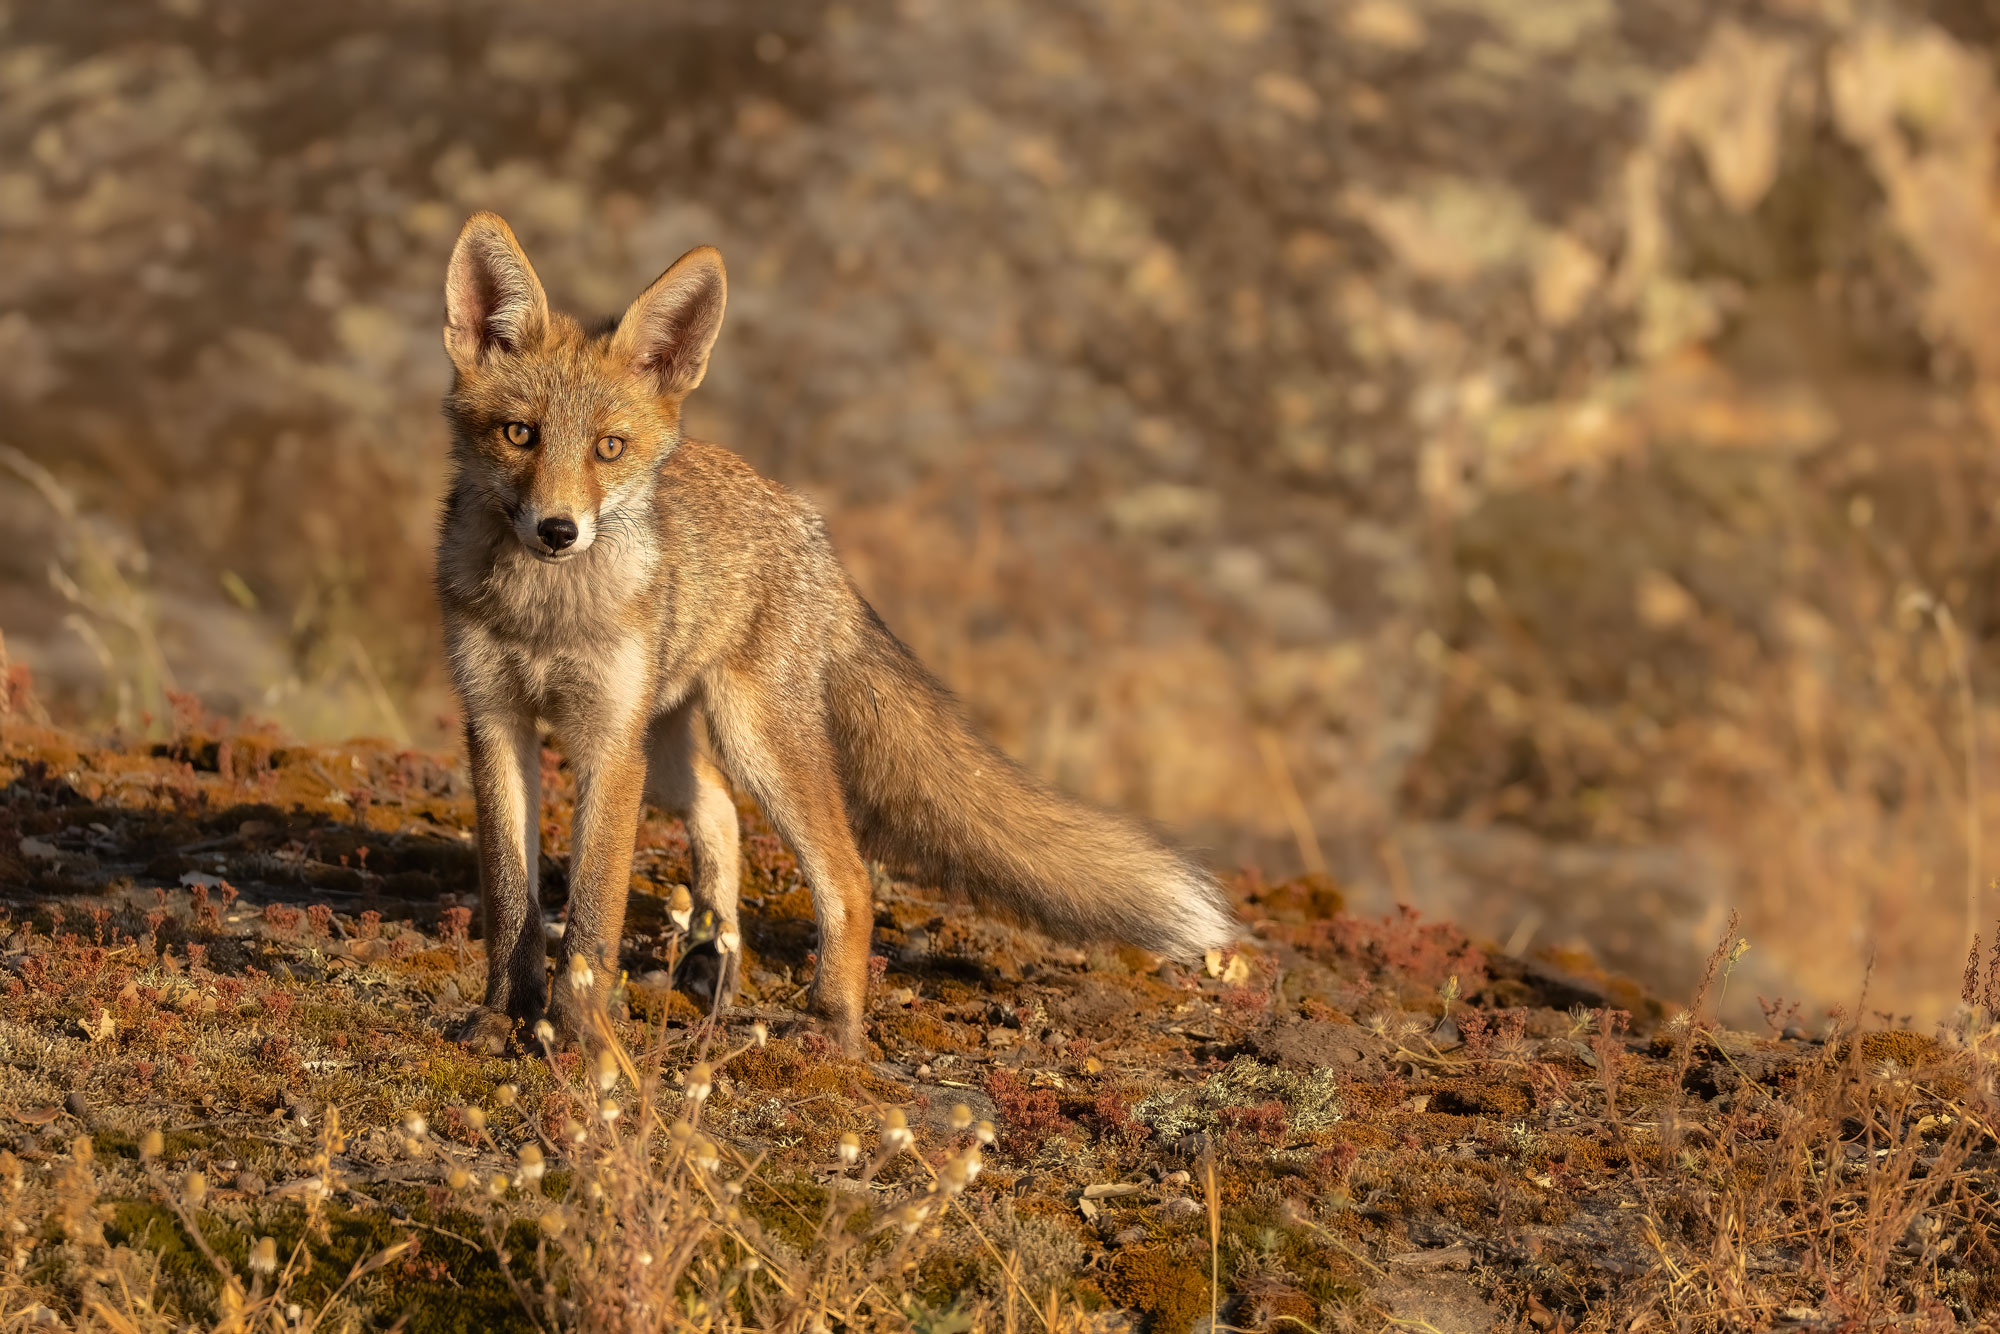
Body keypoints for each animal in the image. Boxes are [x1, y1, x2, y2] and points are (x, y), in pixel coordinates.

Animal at [435, 211, 1235, 1055]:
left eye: (608, 448)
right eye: (519, 434)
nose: (558, 531)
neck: (543, 615)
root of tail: (806, 519)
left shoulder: (607, 741)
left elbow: (593, 918)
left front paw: (582, 1039)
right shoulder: (496, 720)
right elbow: (511, 901)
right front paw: (505, 1015)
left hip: (747, 738)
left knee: (846, 873)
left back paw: (833, 1025)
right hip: (671, 748)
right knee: (719, 805)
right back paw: (712, 957)